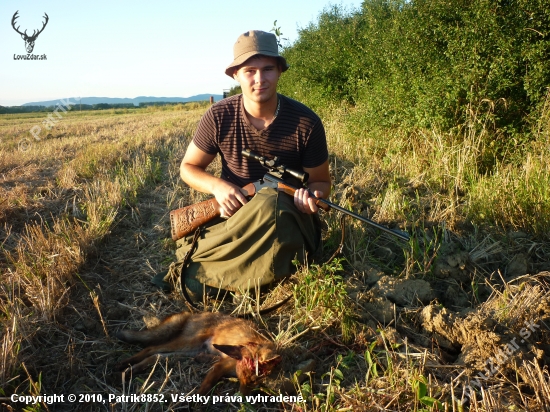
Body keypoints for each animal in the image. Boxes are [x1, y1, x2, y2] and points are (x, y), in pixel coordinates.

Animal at [116, 310, 280, 394]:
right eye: (243, 378)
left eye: (254, 381)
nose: (242, 397)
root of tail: (193, 314)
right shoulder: (221, 365)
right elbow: (206, 386)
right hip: (187, 344)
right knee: (150, 348)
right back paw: (126, 364)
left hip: (187, 352)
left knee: (156, 356)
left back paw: (131, 370)